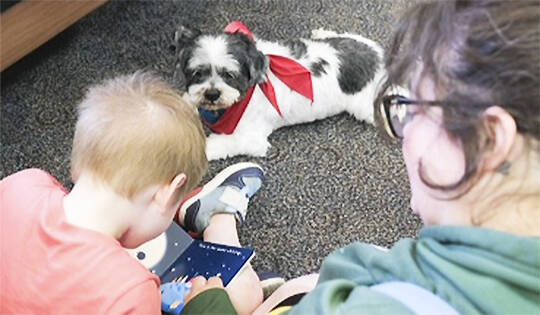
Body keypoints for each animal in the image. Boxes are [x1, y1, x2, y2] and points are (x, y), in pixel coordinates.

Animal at [170, 21, 384, 160]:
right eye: (197, 73)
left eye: (230, 75)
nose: (212, 94)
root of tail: (380, 56)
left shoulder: (252, 139)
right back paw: (322, 34)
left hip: (364, 107)